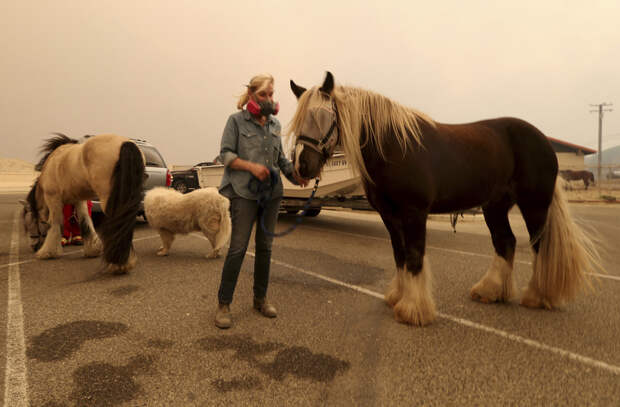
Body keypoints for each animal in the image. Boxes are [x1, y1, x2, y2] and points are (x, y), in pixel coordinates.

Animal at [21, 134, 145, 274]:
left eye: (30, 224)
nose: (34, 247)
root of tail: (125, 143)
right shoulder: (79, 200)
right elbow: (85, 222)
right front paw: (93, 250)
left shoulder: (53, 199)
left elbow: (54, 224)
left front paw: (48, 252)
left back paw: (118, 264)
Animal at [288, 72, 604, 328]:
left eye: (321, 116)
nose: (302, 166)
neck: (394, 146)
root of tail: (544, 141)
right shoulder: (390, 216)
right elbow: (400, 255)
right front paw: (398, 297)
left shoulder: (414, 213)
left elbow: (414, 256)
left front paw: (413, 310)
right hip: (495, 206)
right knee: (506, 242)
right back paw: (490, 291)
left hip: (534, 204)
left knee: (539, 244)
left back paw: (537, 296)